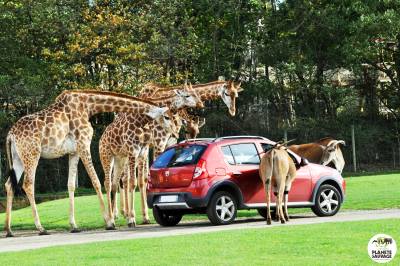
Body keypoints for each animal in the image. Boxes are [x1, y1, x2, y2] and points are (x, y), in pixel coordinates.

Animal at [2, 90, 175, 236]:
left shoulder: (74, 151)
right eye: (167, 117)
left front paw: (74, 225)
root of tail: (10, 135)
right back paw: (40, 228)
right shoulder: (84, 144)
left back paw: (9, 230)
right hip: (32, 154)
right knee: (28, 184)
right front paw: (109, 222)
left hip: (18, 158)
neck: (88, 107)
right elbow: (96, 181)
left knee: (9, 184)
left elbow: (71, 185)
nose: (174, 132)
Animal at [98, 83, 202, 229]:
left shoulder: (153, 147)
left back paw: (115, 215)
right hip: (110, 156)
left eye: (197, 132)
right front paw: (135, 218)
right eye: (187, 95)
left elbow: (144, 180)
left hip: (121, 158)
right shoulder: (155, 144)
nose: (200, 104)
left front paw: (145, 217)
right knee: (112, 181)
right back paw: (113, 219)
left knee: (116, 181)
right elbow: (140, 180)